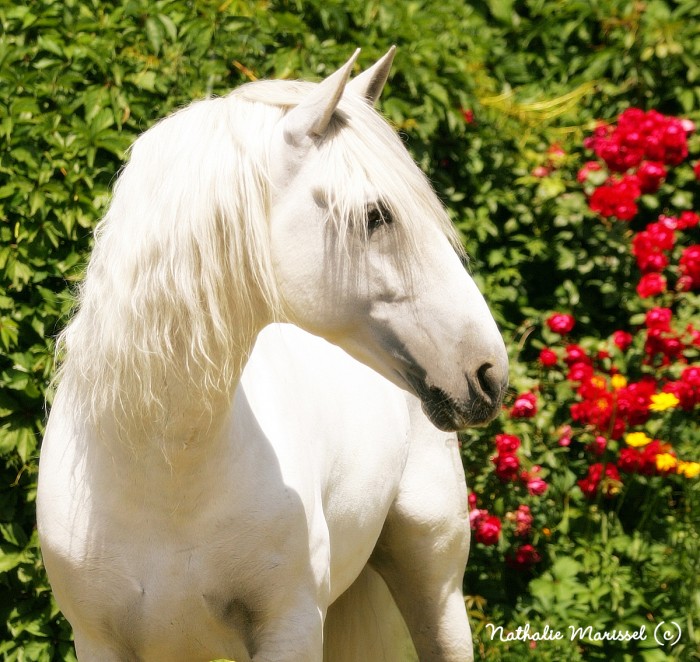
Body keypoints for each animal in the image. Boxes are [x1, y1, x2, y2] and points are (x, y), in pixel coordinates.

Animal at [37, 48, 508, 662]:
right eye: (376, 215)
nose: (490, 371)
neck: (159, 471)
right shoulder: (99, 642)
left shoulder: (292, 627)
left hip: (434, 579)